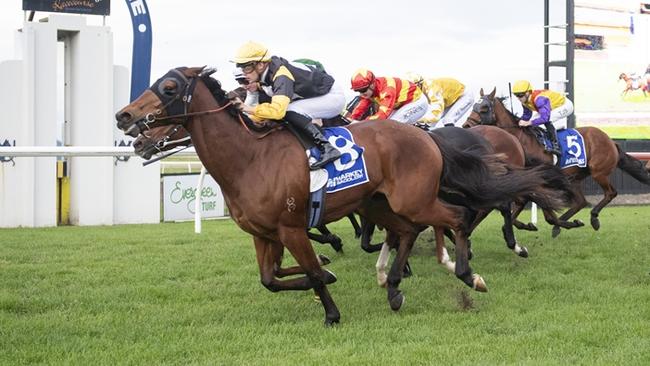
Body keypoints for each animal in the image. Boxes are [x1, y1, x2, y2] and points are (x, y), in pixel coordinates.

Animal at [116, 67, 568, 324]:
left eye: (169, 86)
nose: (126, 116)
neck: (248, 158)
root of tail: (429, 138)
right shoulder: (264, 234)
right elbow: (270, 280)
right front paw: (332, 265)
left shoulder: (291, 228)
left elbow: (313, 274)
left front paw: (332, 312)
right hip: (380, 203)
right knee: (408, 231)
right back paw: (394, 286)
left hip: (413, 199)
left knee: (456, 218)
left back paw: (468, 273)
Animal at [460, 89, 648, 237]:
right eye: (473, 107)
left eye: (484, 108)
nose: (466, 126)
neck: (521, 141)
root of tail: (610, 140)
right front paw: (526, 225)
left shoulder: (539, 179)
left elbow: (540, 211)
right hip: (573, 177)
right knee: (580, 201)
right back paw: (562, 224)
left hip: (598, 171)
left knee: (610, 193)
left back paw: (593, 218)